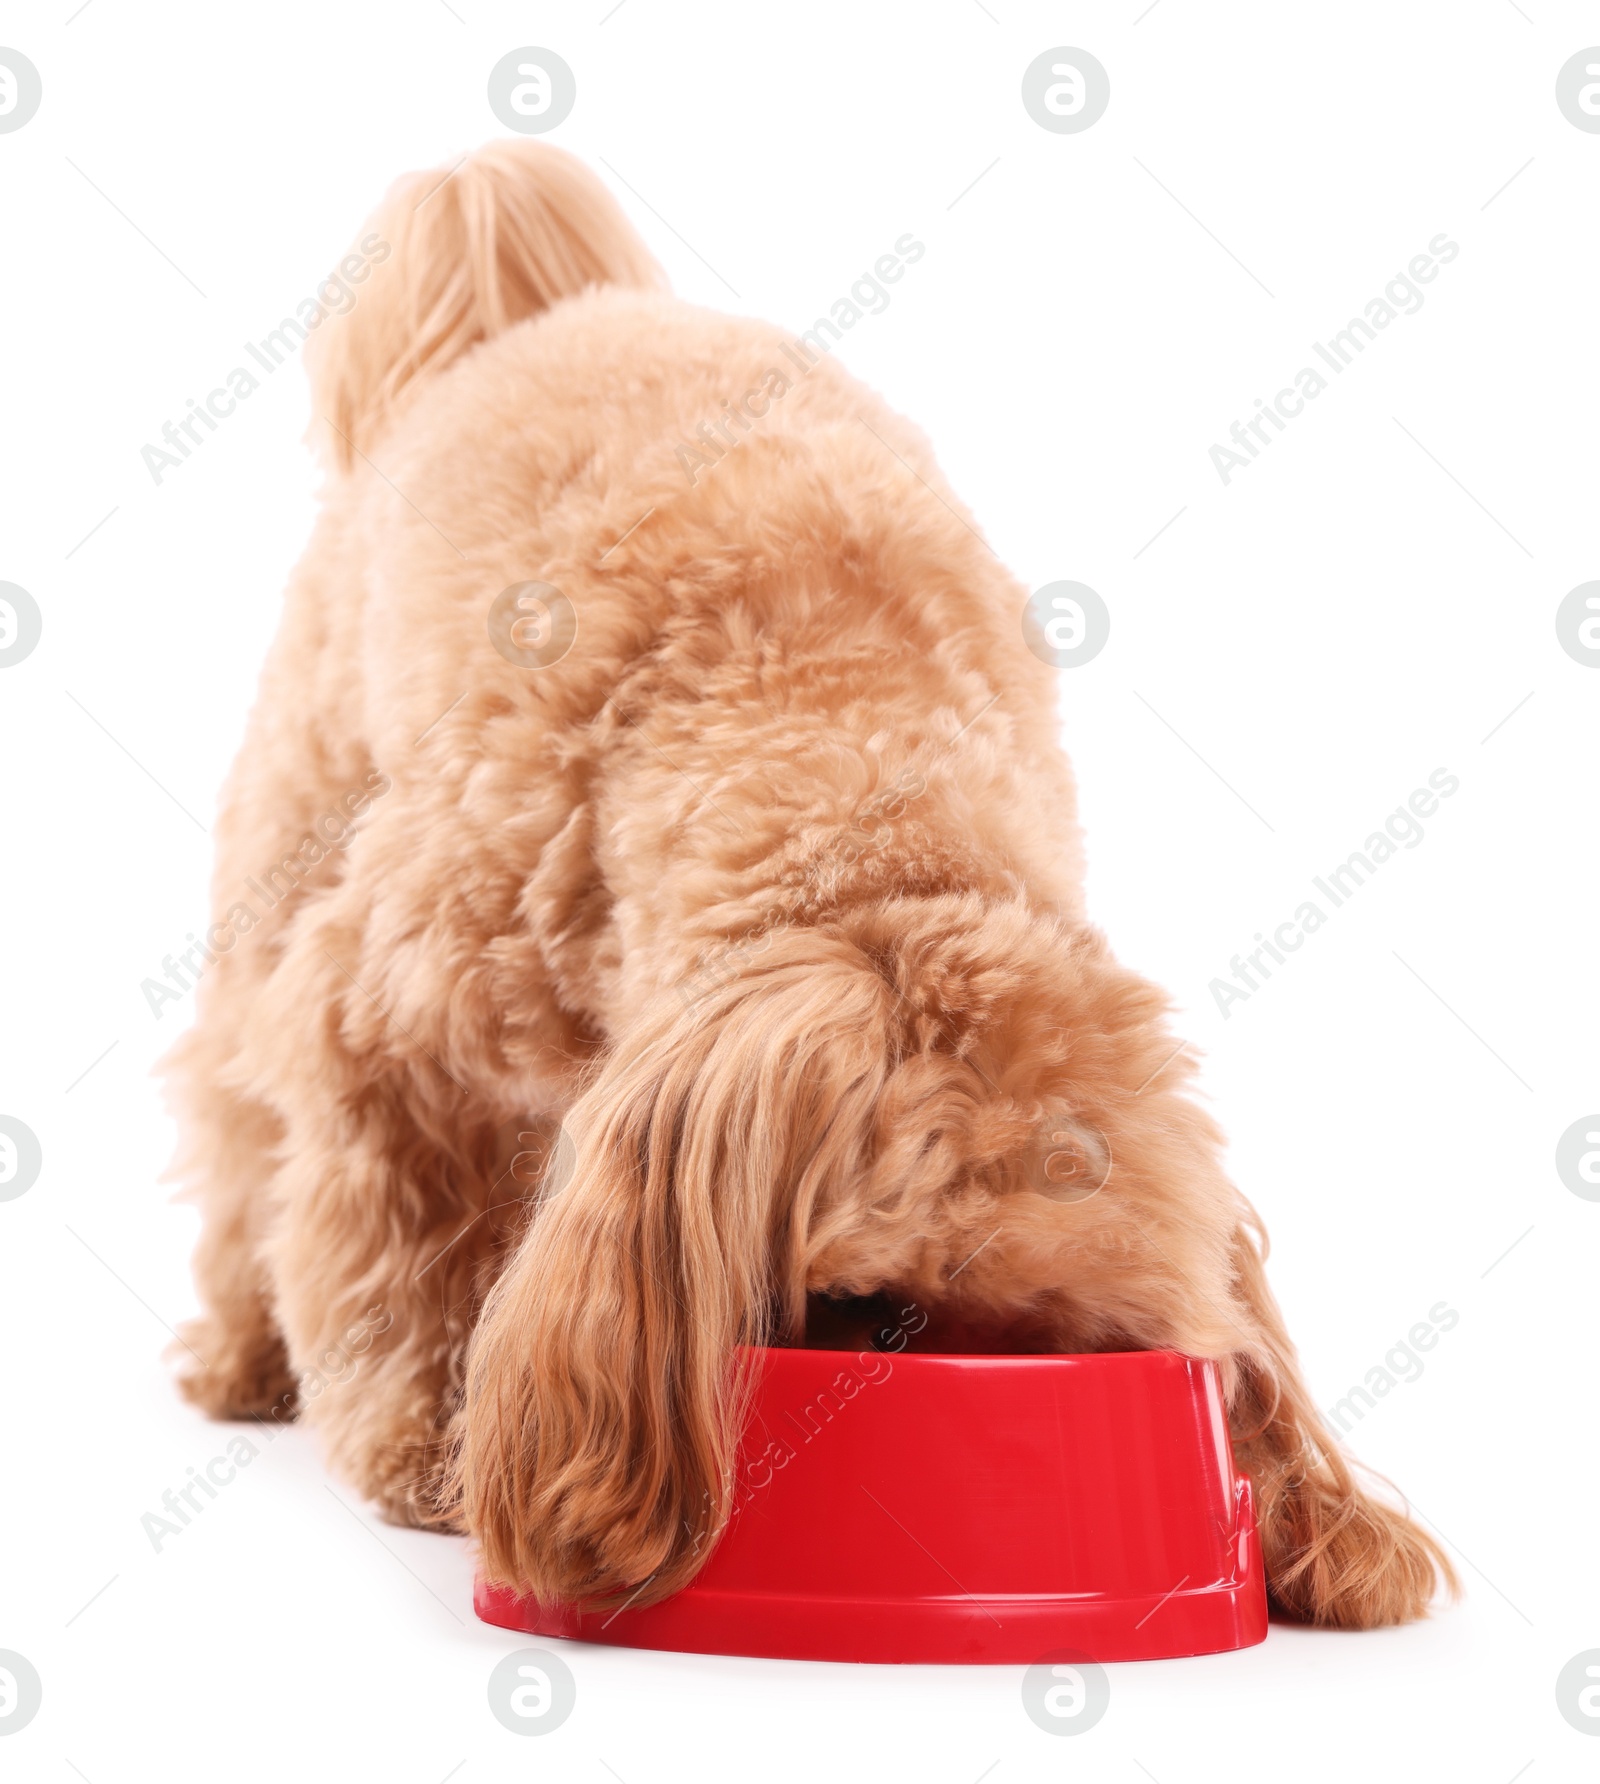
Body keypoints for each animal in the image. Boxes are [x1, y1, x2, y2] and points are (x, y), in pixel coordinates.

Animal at [168, 139, 1455, 1634]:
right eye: (866, 1305)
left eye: (1060, 1347)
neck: (850, 763)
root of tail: (553, 314)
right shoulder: (379, 1022)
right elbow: (396, 1246)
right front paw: (430, 1440)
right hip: (297, 824)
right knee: (236, 1126)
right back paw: (245, 1352)